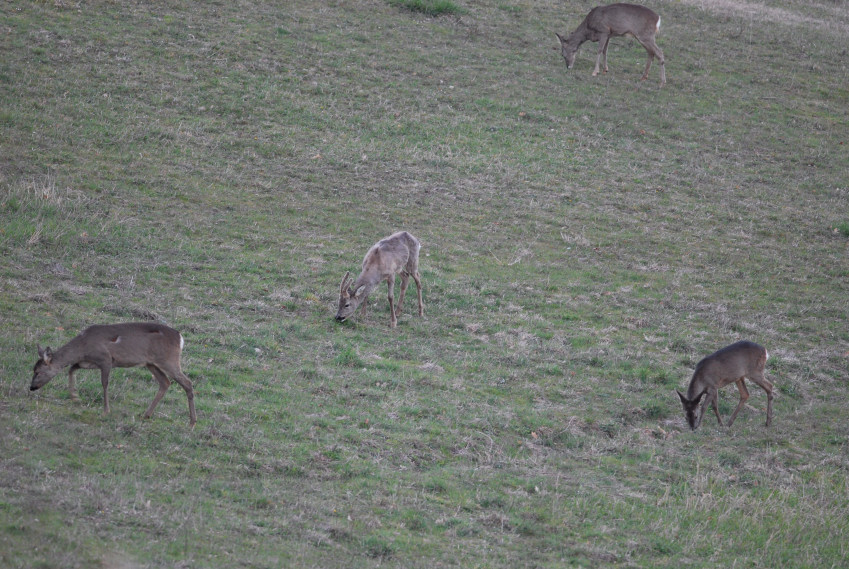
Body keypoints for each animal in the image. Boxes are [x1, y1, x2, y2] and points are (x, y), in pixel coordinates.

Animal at [30, 324, 196, 426]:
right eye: (33, 370)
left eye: (38, 372)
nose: (32, 387)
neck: (82, 348)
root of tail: (180, 338)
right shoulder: (86, 363)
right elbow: (71, 369)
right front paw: (75, 396)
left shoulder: (106, 359)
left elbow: (104, 383)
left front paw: (106, 411)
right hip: (151, 363)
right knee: (165, 382)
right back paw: (146, 415)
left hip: (168, 360)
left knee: (187, 382)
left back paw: (192, 422)